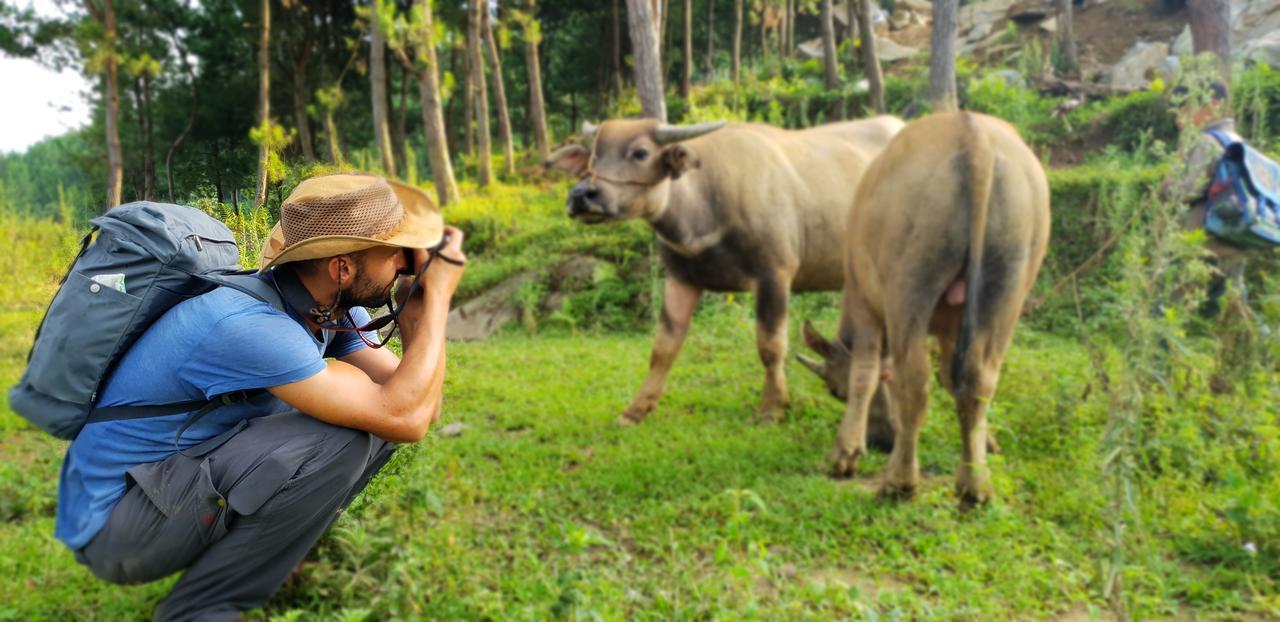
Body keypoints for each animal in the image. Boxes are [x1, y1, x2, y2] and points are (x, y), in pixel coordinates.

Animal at [545, 115, 906, 427]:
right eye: (594, 155)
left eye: (640, 152)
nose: (581, 196)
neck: (705, 204)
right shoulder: (680, 280)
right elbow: (663, 348)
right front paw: (635, 410)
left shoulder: (774, 276)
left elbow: (771, 346)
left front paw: (772, 407)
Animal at [798, 111, 1049, 506]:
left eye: (836, 393)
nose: (883, 442)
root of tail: (975, 137)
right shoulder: (949, 329)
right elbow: (952, 379)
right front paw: (985, 443)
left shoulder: (865, 303)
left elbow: (865, 373)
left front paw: (845, 452)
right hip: (1010, 280)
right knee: (980, 379)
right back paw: (974, 483)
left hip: (910, 283)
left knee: (914, 382)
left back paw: (900, 480)